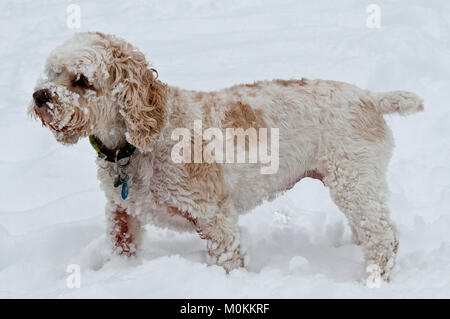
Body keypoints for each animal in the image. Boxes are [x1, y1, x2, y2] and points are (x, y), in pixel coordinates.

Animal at [29, 32, 424, 282]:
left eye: (82, 80)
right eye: (52, 73)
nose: (39, 96)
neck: (137, 143)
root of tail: (371, 97)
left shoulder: (213, 214)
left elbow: (228, 260)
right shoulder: (122, 213)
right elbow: (121, 247)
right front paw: (119, 275)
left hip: (353, 182)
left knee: (384, 238)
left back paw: (372, 281)